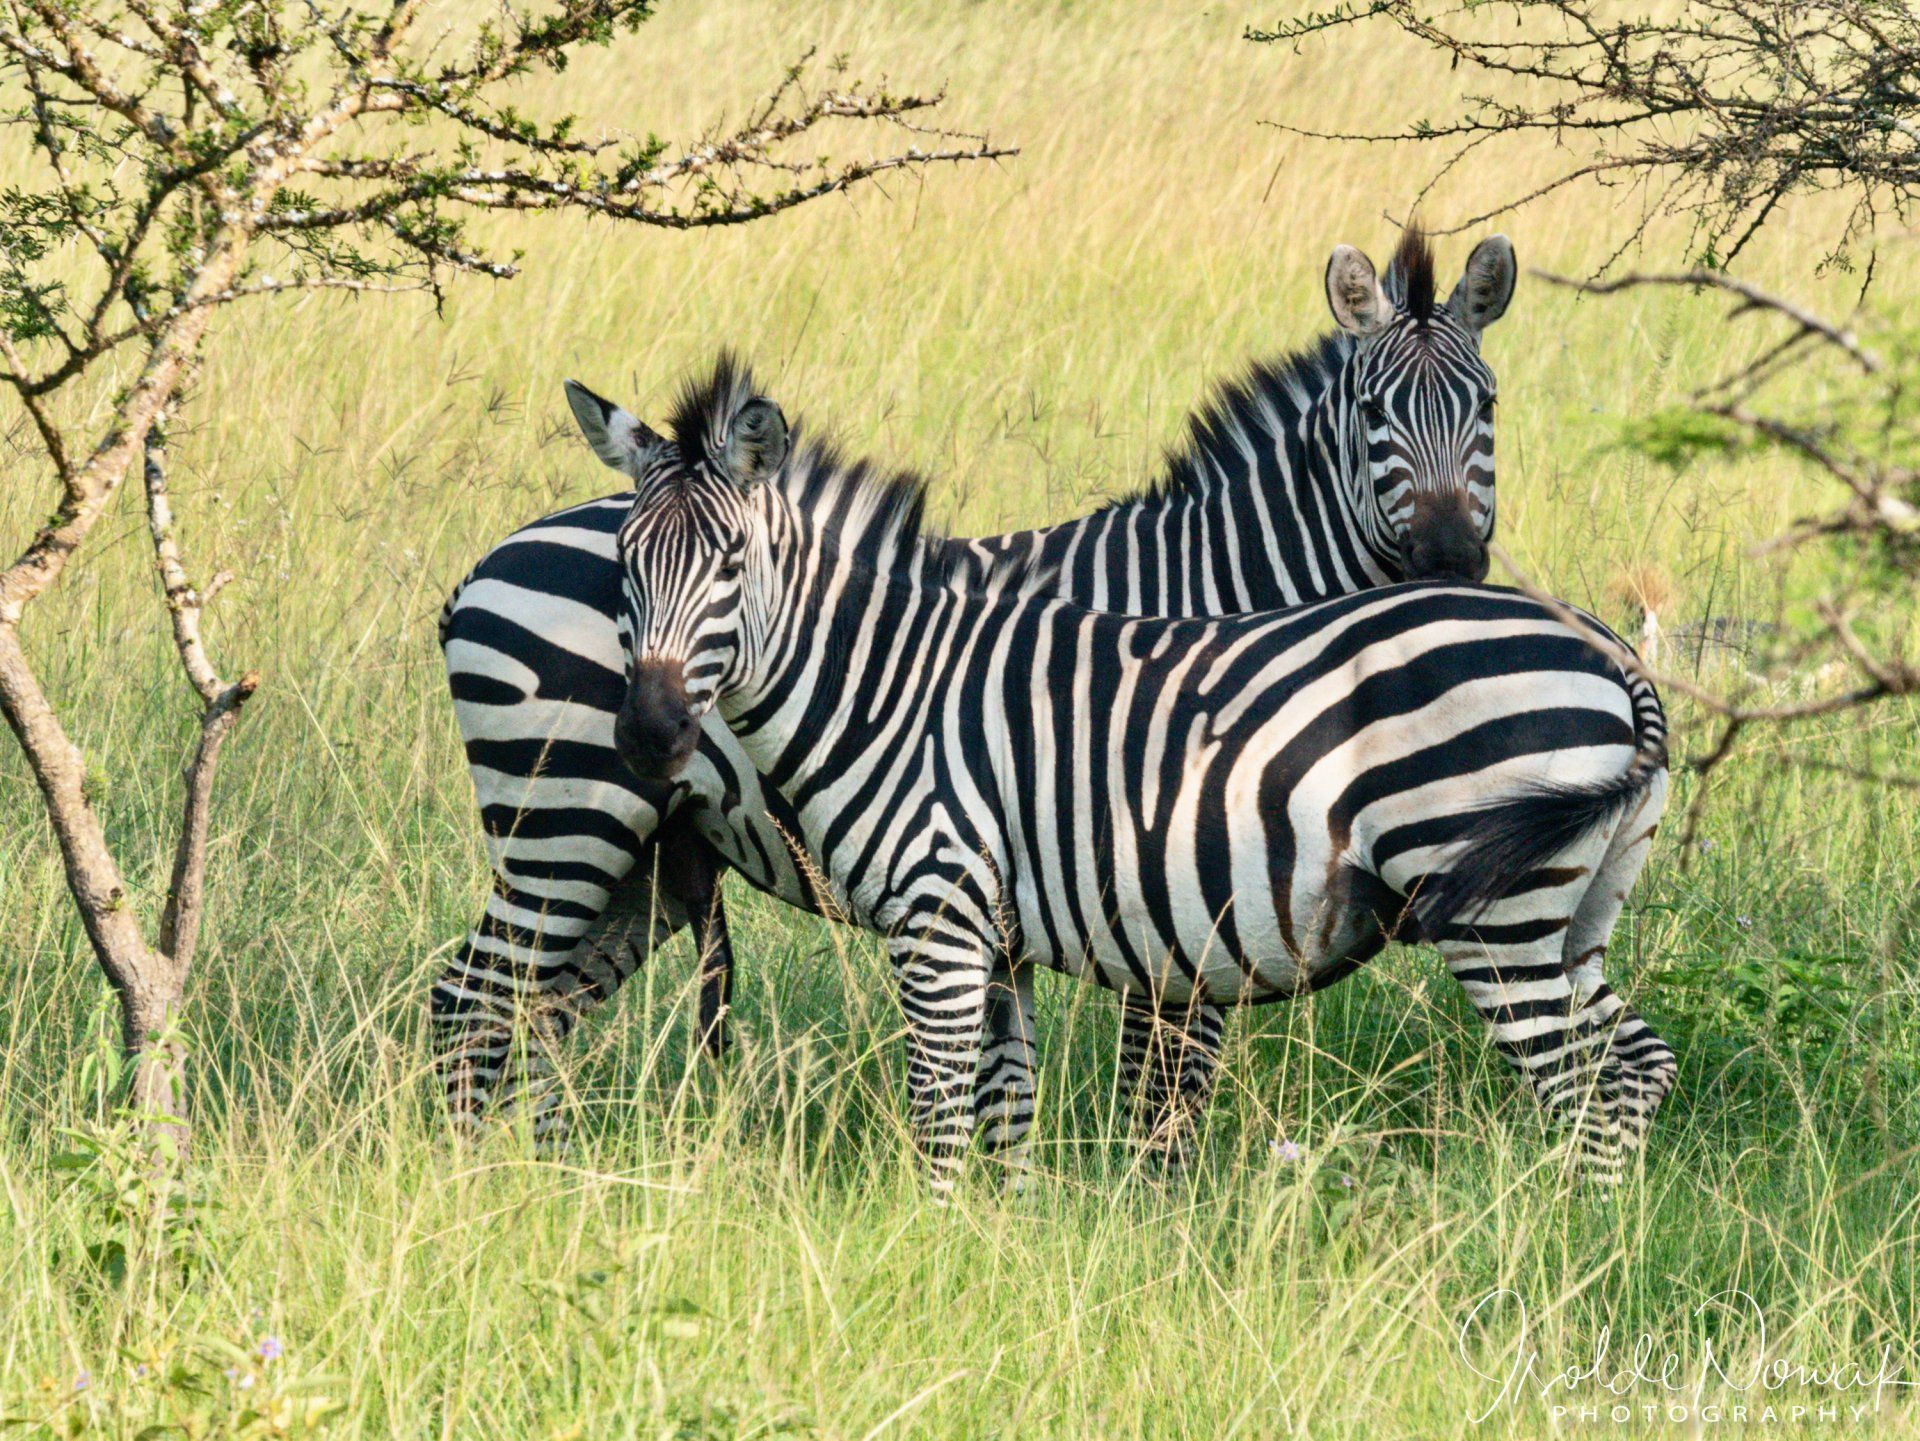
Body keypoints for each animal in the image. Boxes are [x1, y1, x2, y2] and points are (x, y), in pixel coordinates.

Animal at [433, 227, 1528, 1144]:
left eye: (1487, 406)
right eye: (1374, 414)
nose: (1447, 561)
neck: (1220, 586)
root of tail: (488, 560)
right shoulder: (1169, 876)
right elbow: (1162, 1086)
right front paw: (1147, 1206)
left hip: (645, 858)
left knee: (532, 1008)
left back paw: (546, 1173)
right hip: (561, 824)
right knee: (474, 997)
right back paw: (479, 1176)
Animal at [598, 358, 1677, 1192]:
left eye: (730, 562)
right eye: (624, 566)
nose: (648, 735)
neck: (887, 678)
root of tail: (1613, 653)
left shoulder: (938, 913)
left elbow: (940, 1119)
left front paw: (928, 1243)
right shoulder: (998, 937)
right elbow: (1006, 1113)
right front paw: (999, 1249)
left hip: (1503, 916)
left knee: (1581, 1087)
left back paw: (1558, 1251)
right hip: (1576, 911)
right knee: (1634, 1066)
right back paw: (1604, 1243)